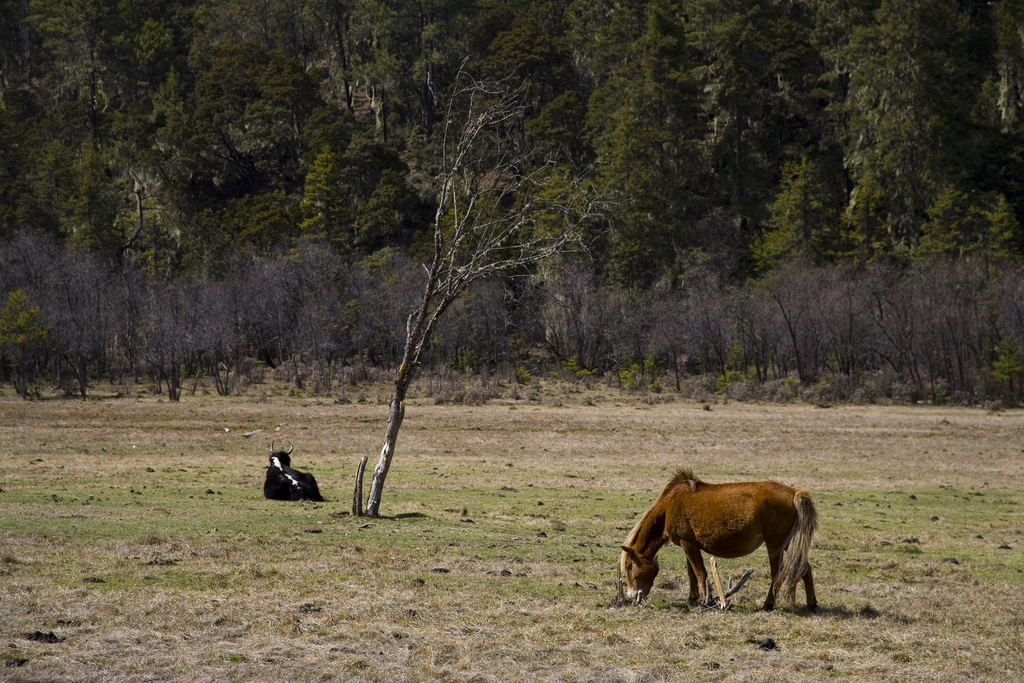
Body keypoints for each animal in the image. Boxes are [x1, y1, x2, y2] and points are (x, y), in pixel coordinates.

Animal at [618, 471, 819, 610]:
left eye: (628, 566)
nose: (631, 595)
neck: (670, 505)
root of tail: (795, 493)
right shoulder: (689, 544)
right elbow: (692, 573)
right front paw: (692, 599)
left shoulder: (687, 544)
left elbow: (700, 573)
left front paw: (705, 601)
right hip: (787, 544)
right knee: (804, 568)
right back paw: (811, 604)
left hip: (775, 545)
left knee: (777, 572)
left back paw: (768, 604)